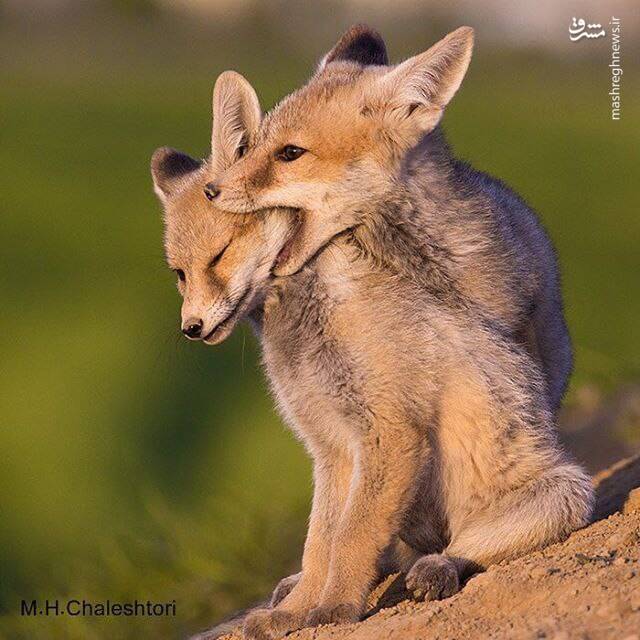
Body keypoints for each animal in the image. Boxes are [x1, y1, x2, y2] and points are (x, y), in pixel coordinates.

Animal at [152, 26, 592, 640]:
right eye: (179, 273)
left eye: (220, 254)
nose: (191, 328)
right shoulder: (331, 447)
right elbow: (322, 544)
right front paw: (295, 612)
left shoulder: (389, 430)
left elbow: (351, 538)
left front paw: (334, 608)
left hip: (565, 492)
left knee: (465, 546)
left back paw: (438, 569)